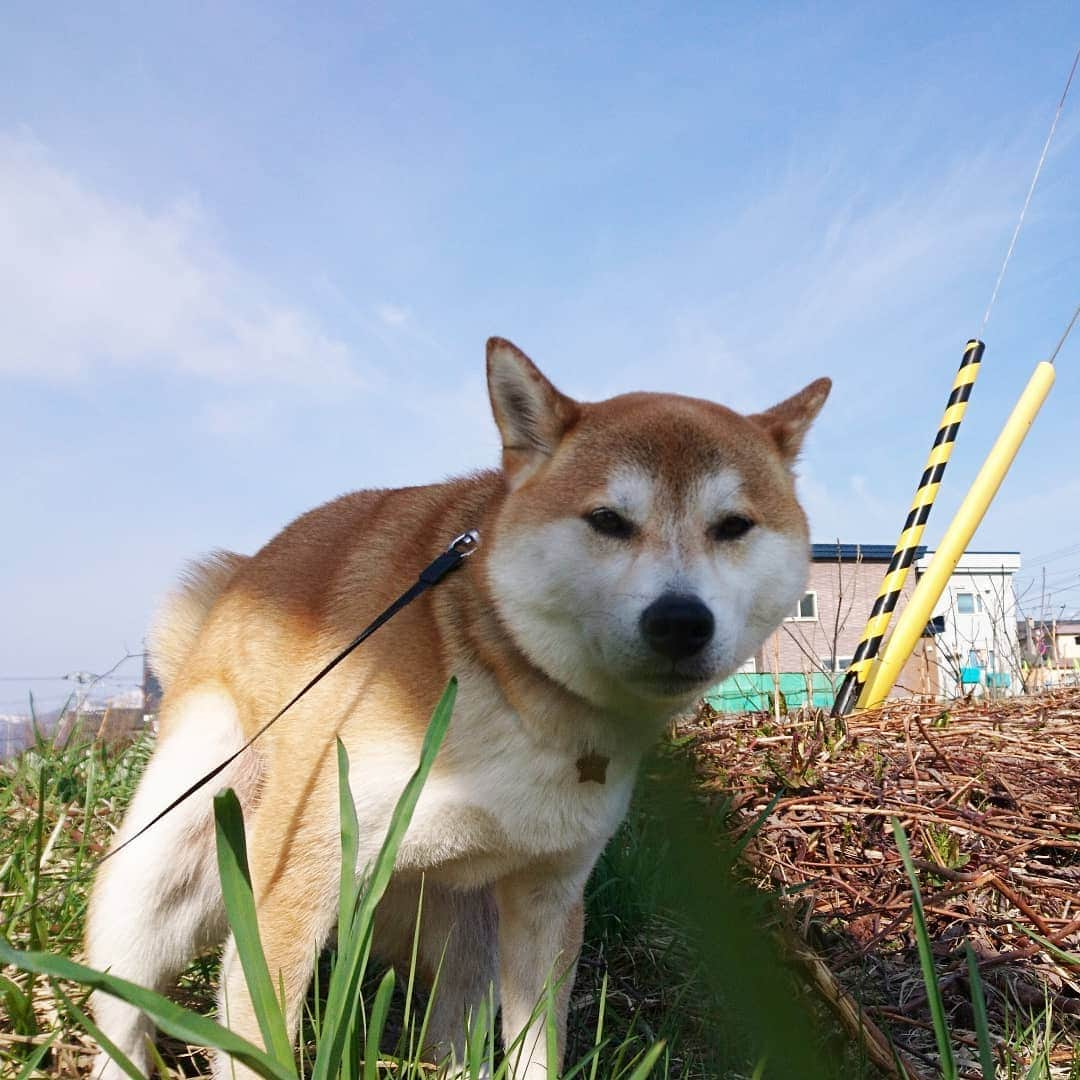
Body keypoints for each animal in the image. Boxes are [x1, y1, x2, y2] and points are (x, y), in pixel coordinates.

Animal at [88, 332, 829, 1075]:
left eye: (733, 526)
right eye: (608, 521)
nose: (680, 621)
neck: (508, 687)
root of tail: (241, 579)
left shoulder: (548, 891)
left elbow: (536, 1050)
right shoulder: (300, 863)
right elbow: (259, 1039)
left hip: (469, 923)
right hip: (160, 872)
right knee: (122, 997)